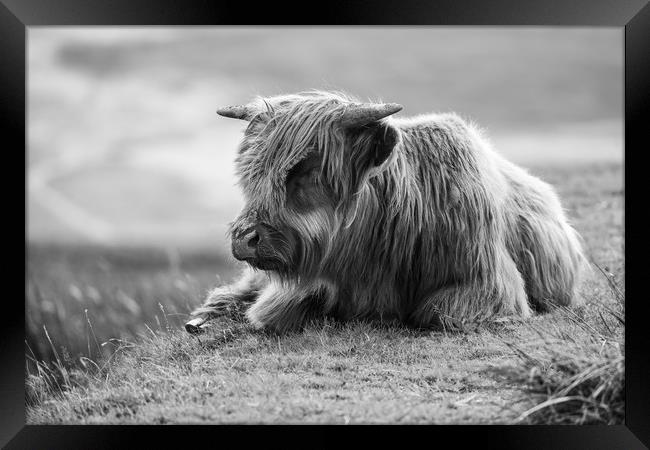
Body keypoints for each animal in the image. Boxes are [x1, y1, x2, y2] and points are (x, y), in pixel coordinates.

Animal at [182, 90, 584, 334]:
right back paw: (203, 317)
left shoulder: (487, 284)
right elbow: (276, 308)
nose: (245, 238)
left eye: (308, 169)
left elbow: (439, 312)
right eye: (251, 171)